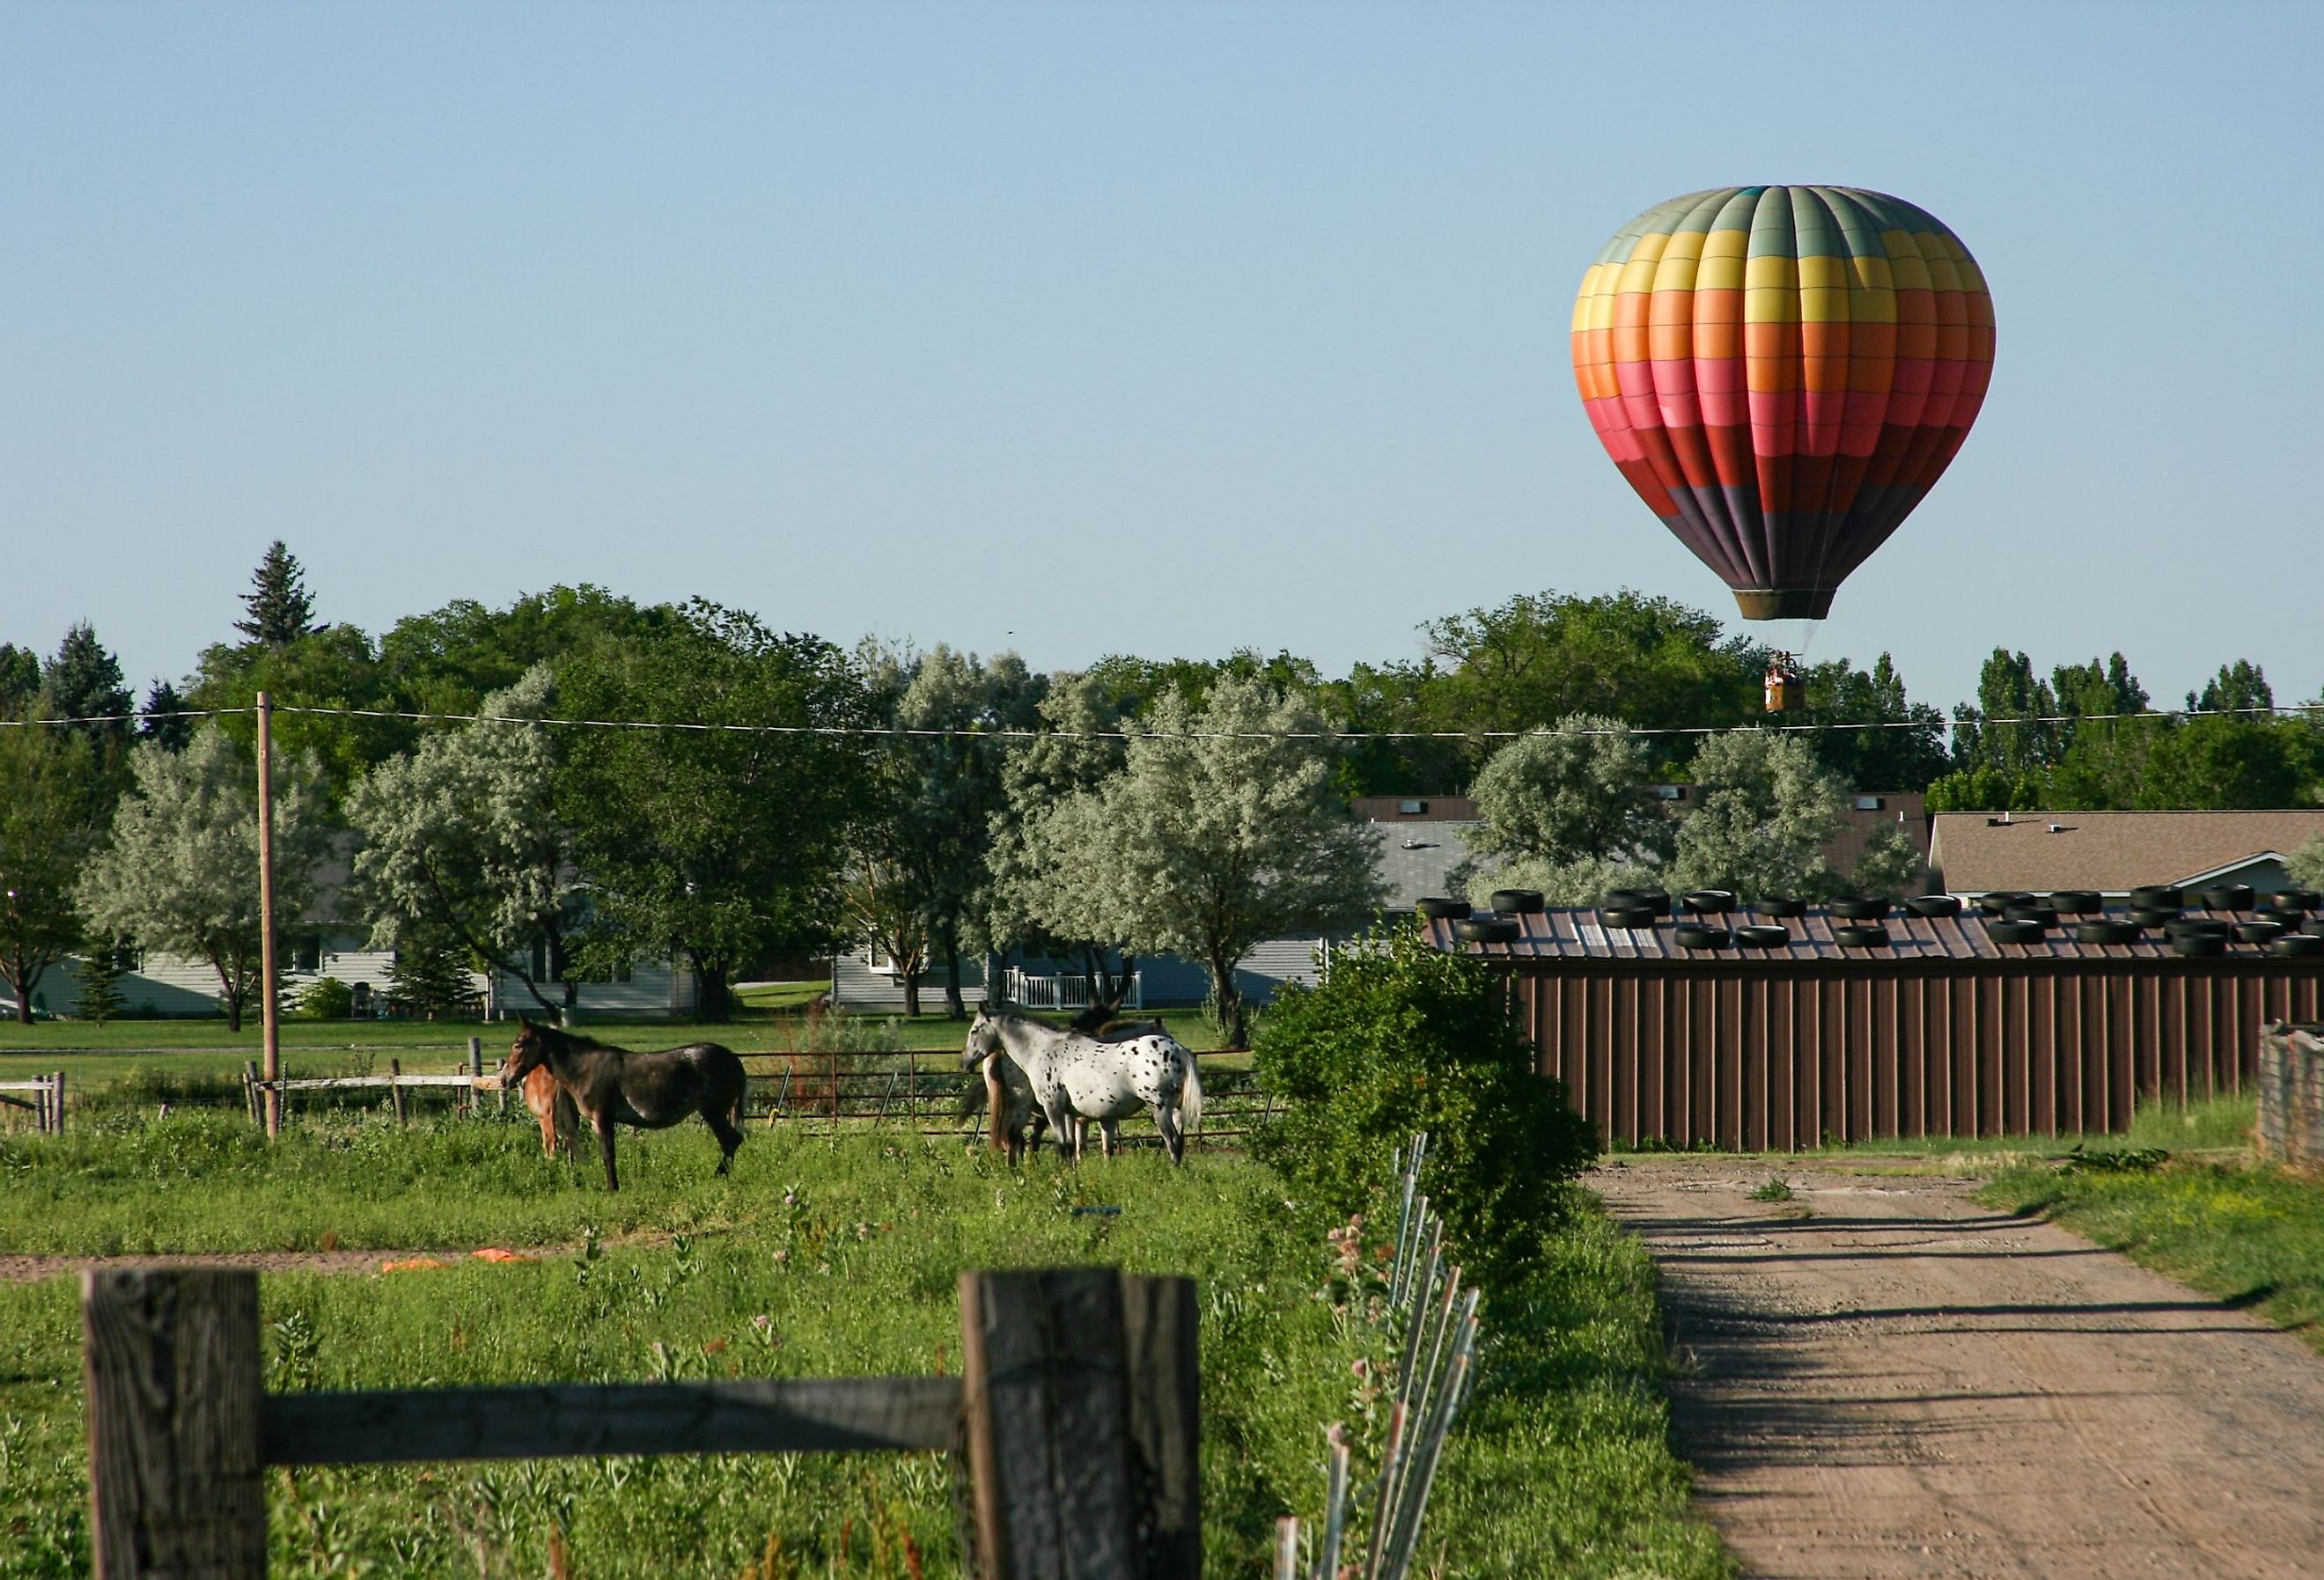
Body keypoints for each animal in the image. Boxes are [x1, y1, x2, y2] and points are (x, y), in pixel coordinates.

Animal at [504, 1018, 748, 1189]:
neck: (585, 1068)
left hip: (714, 1111)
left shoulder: (604, 1117)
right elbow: (606, 1153)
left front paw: (613, 1188)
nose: (505, 1079)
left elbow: (608, 1154)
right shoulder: (596, 1121)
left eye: (519, 1044)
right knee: (731, 1142)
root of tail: (733, 1059)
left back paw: (718, 1176)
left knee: (731, 1141)